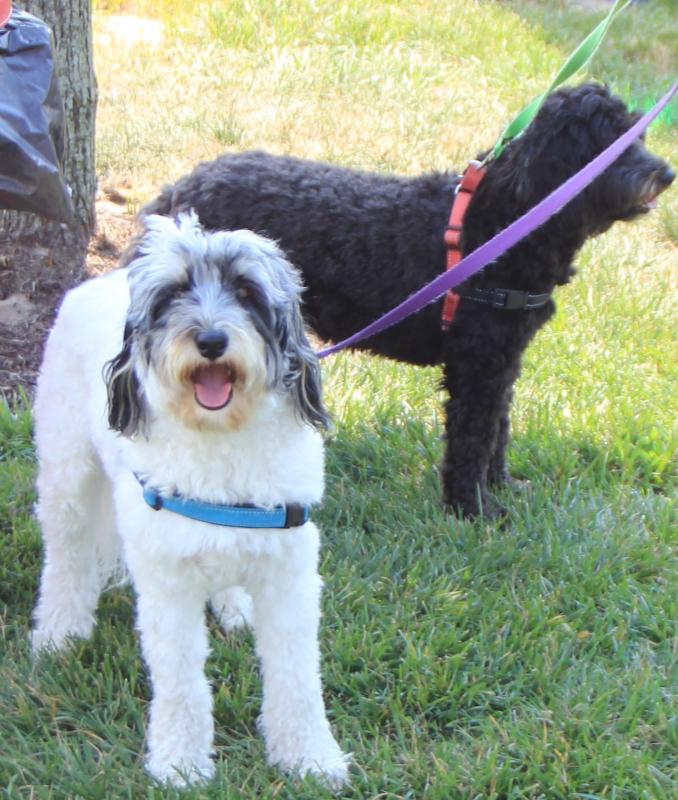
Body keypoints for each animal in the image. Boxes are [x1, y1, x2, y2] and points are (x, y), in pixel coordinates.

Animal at [30, 212, 350, 788]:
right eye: (173, 294)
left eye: (246, 292)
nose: (211, 339)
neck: (220, 438)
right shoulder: (167, 583)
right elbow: (181, 681)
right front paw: (180, 763)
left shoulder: (289, 576)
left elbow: (296, 677)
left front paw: (309, 757)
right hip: (67, 476)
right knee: (66, 559)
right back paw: (60, 634)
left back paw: (234, 606)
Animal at [142, 83, 676, 520]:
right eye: (610, 143)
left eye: (639, 133)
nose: (666, 173)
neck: (506, 219)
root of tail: (177, 193)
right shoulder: (479, 365)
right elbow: (472, 439)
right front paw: (473, 510)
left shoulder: (503, 360)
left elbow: (499, 431)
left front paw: (502, 486)